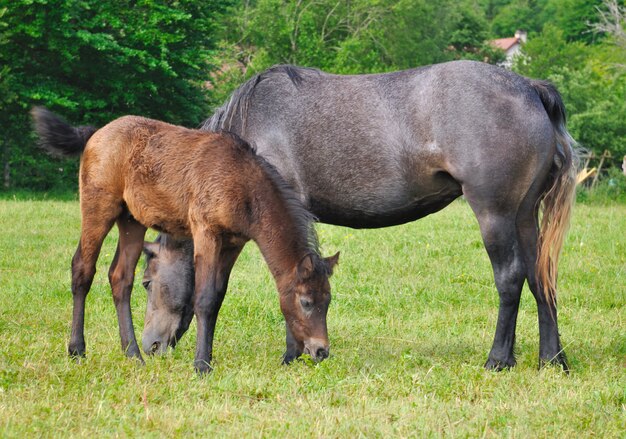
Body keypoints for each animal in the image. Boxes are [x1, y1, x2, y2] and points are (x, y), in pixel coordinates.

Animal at [140, 60, 576, 372]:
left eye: (146, 283)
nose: (151, 346)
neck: (251, 130)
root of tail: (530, 89)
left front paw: (290, 356)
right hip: (524, 216)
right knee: (541, 277)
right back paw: (552, 359)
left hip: (494, 214)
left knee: (510, 278)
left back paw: (498, 360)